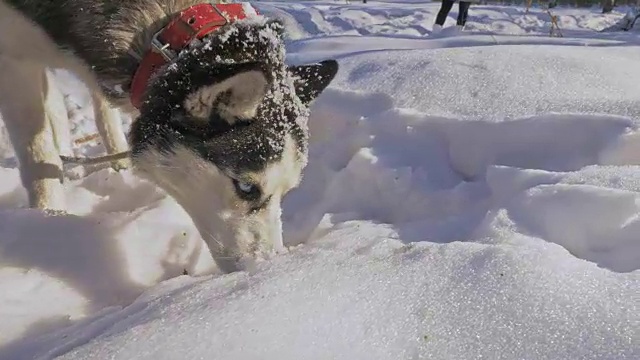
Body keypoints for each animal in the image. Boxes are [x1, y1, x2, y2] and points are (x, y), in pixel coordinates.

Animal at [1, 0, 340, 270]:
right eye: (246, 187)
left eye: (287, 191)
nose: (267, 266)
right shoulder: (13, 57)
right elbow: (38, 158)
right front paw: (48, 220)